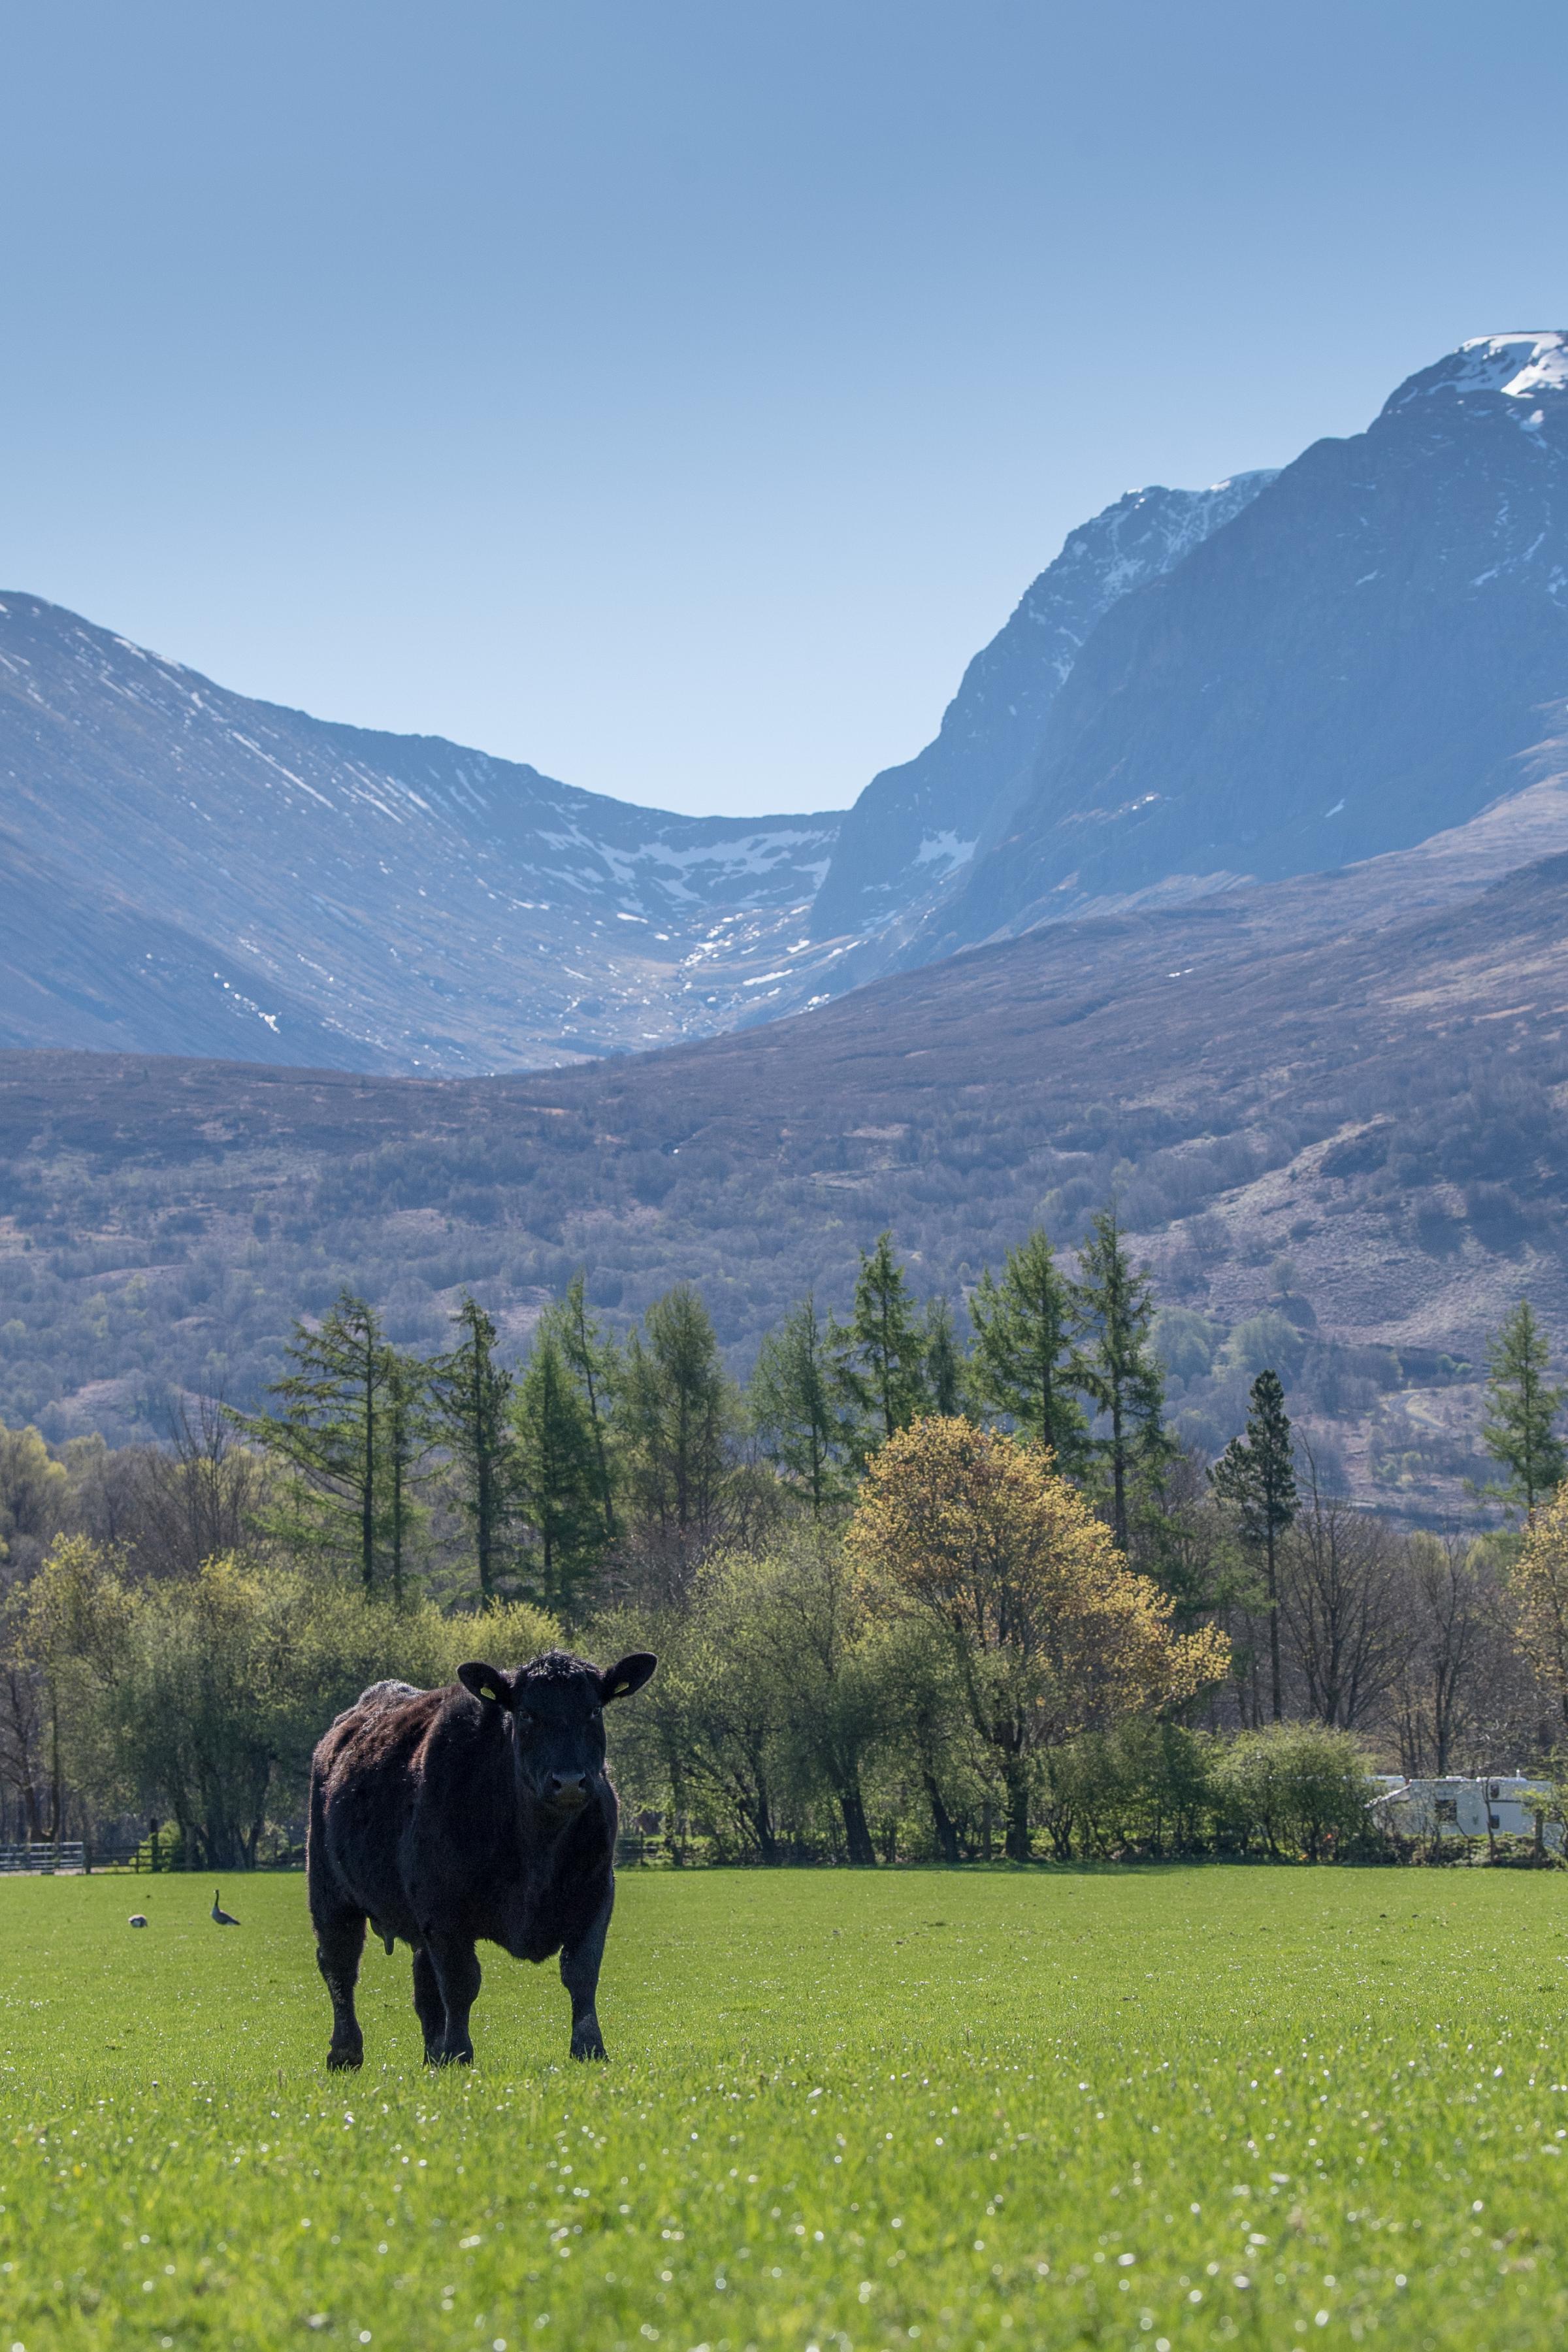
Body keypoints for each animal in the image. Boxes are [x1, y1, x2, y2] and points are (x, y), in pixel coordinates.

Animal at [305, 1646, 658, 2070]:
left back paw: (433, 2055)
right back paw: (346, 2051)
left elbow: (582, 1973)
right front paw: (459, 2052)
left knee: (423, 1985)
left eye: (594, 1710)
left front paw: (589, 2048)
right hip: (329, 1890)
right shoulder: (443, 1909)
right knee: (339, 1965)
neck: (538, 1851)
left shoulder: (596, 1893)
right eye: (525, 1713)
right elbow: (461, 1982)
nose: (570, 1781)